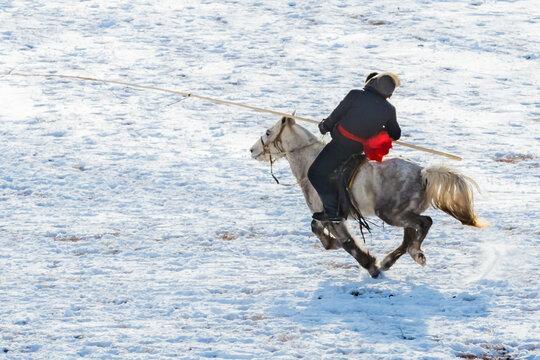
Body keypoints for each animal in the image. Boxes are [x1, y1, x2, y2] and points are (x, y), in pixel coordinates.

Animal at [251, 116, 488, 278]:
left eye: (268, 132)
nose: (253, 150)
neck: (310, 161)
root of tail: (423, 173)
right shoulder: (327, 215)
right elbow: (318, 229)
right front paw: (333, 244)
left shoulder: (332, 215)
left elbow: (346, 242)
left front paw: (369, 264)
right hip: (402, 214)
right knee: (410, 236)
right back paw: (390, 261)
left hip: (392, 214)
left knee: (423, 224)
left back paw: (412, 255)